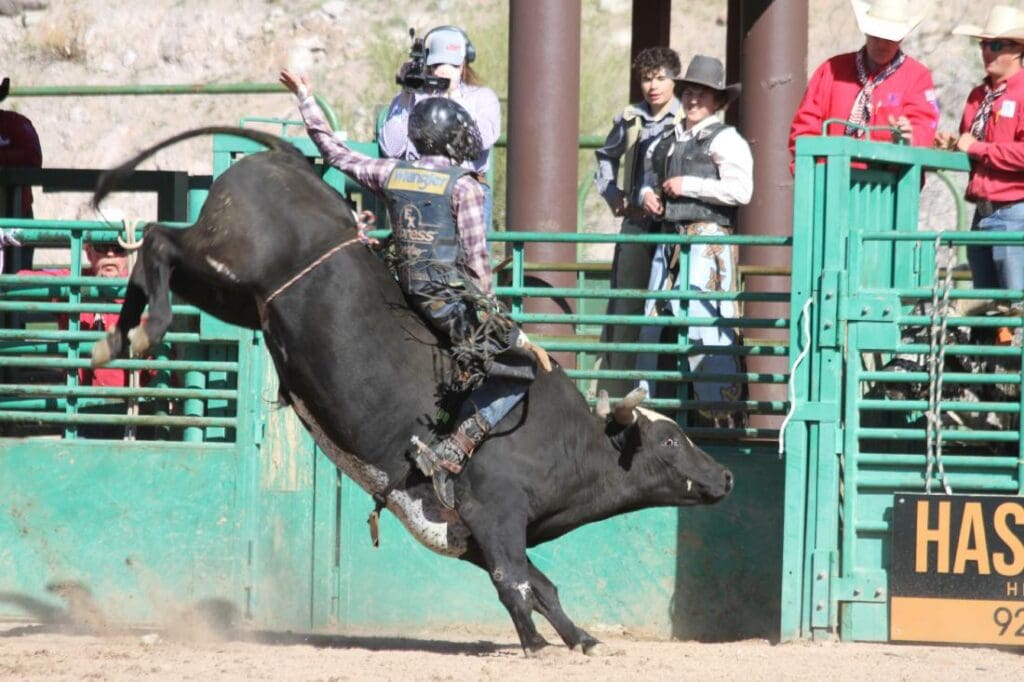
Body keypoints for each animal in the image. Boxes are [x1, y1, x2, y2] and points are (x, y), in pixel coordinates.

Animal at [90, 127, 734, 656]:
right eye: (670, 443)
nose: (725, 476)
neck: (570, 443)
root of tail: (279, 161)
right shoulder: (495, 512)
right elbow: (515, 582)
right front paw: (535, 646)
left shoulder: (472, 532)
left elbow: (541, 583)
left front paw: (581, 639)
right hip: (228, 263)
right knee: (158, 241)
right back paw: (145, 329)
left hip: (236, 298)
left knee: (158, 251)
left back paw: (117, 337)